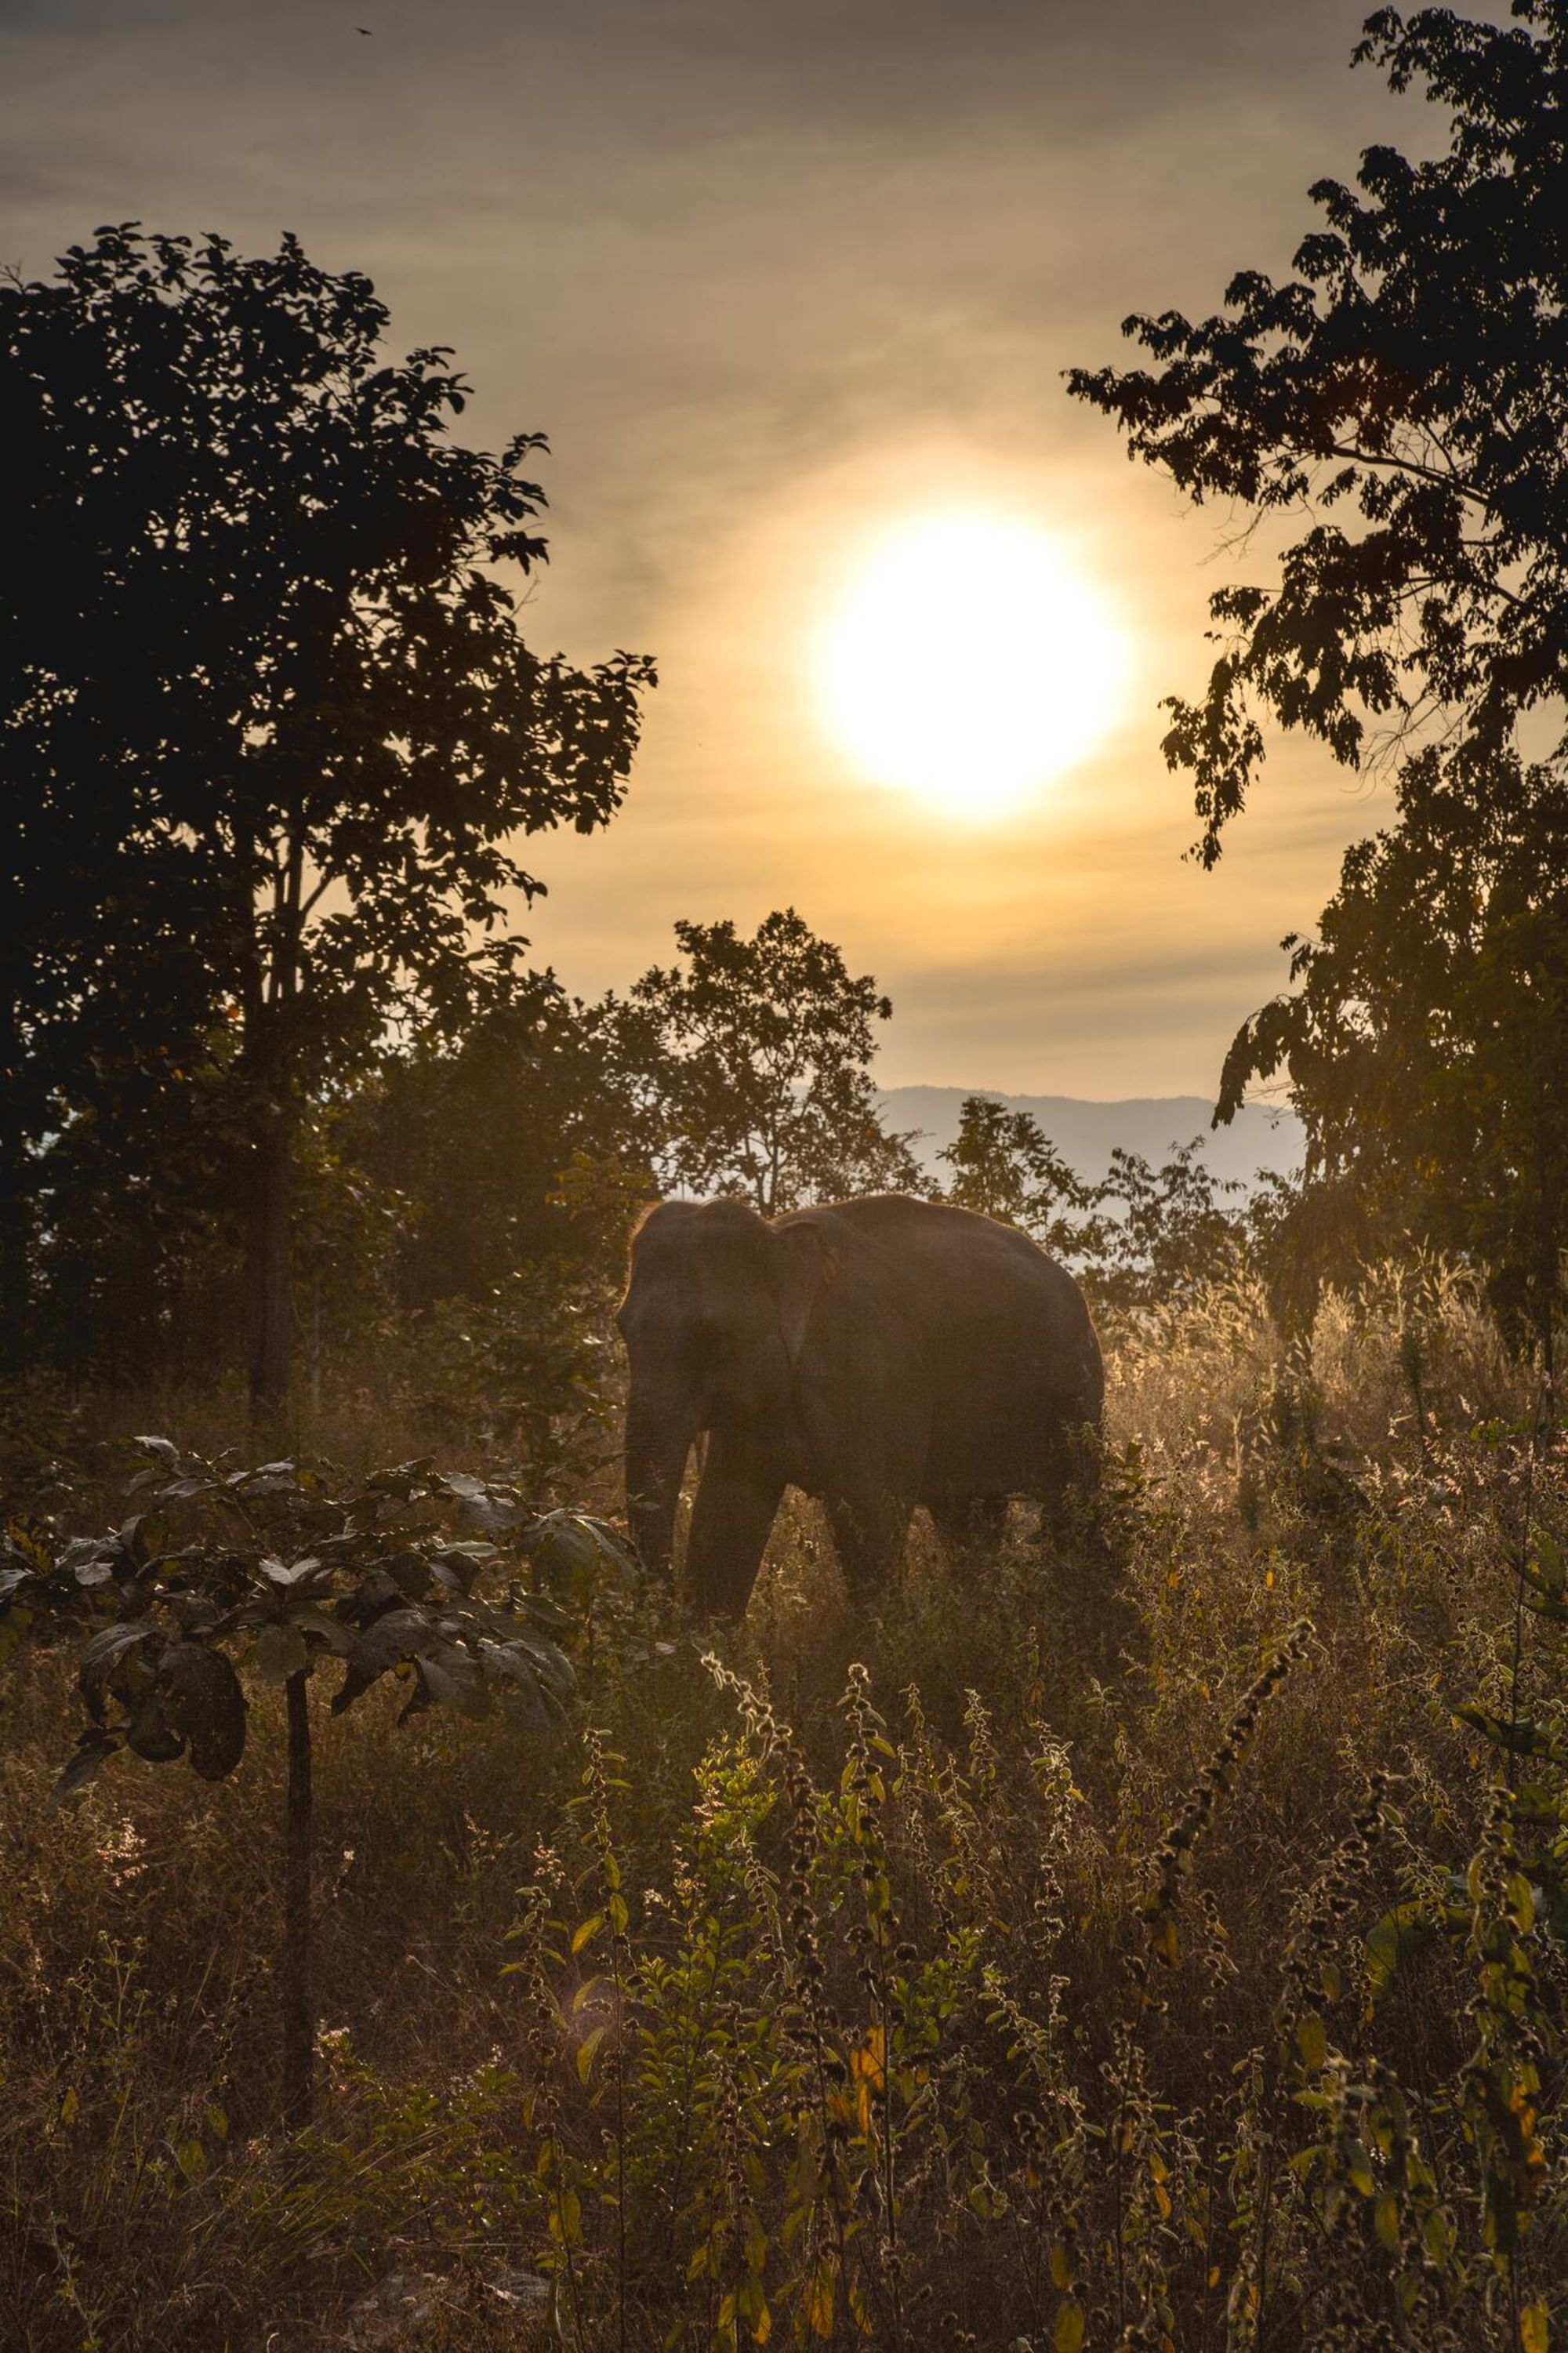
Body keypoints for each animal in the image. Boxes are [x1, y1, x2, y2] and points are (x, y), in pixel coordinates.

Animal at [618, 1190, 1104, 1617]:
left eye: (712, 1336)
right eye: (622, 1329)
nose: (658, 1611)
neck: (778, 1235)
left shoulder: (874, 1371)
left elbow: (871, 1519)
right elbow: (727, 1512)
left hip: (1075, 1392)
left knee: (1073, 1505)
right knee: (968, 1520)